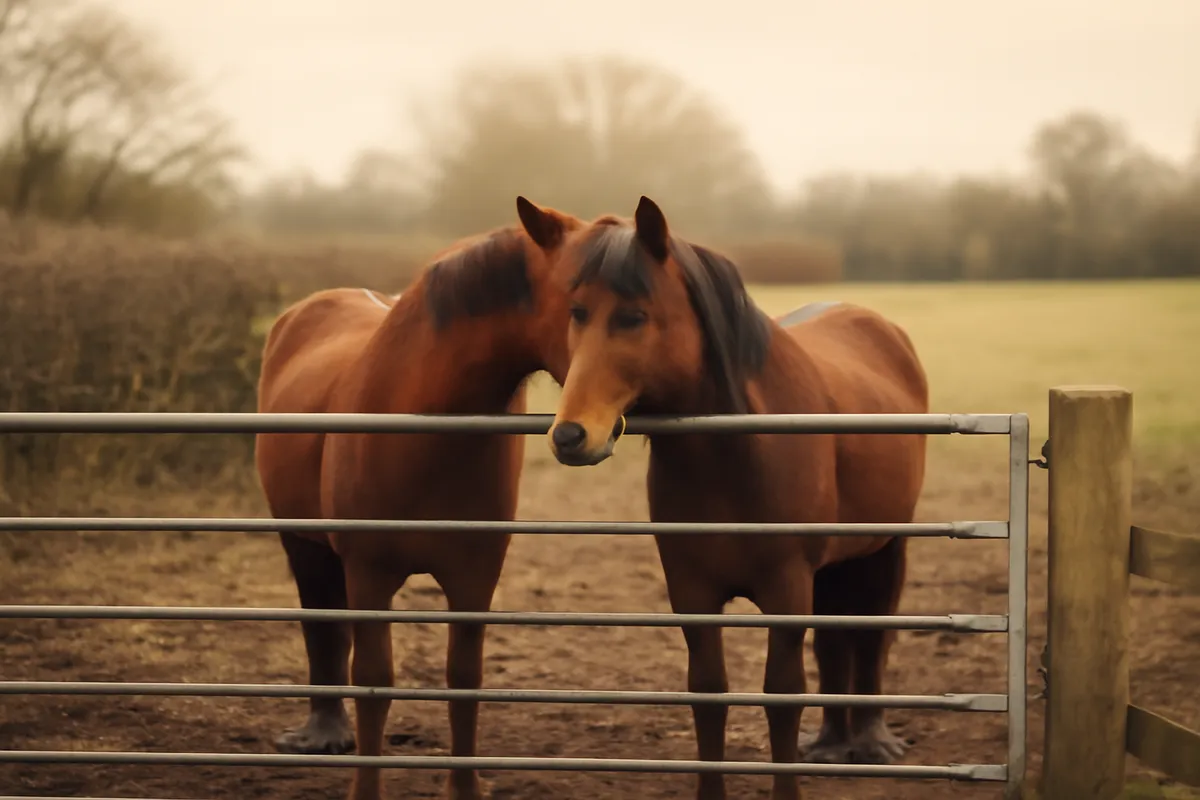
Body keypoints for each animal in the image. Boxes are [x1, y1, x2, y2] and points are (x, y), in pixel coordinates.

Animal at [254, 197, 583, 800]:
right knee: (321, 621)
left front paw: (466, 789)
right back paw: (323, 733)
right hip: (302, 539)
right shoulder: (369, 569)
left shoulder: (476, 573)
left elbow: (464, 679)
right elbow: (374, 679)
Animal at [526, 196, 929, 800]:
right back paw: (832, 743)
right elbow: (708, 693)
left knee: (871, 634)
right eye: (577, 312)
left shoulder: (786, 590)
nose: (571, 436)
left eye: (633, 316)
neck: (734, 455)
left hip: (886, 549)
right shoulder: (692, 590)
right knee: (835, 643)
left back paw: (872, 740)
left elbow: (782, 696)